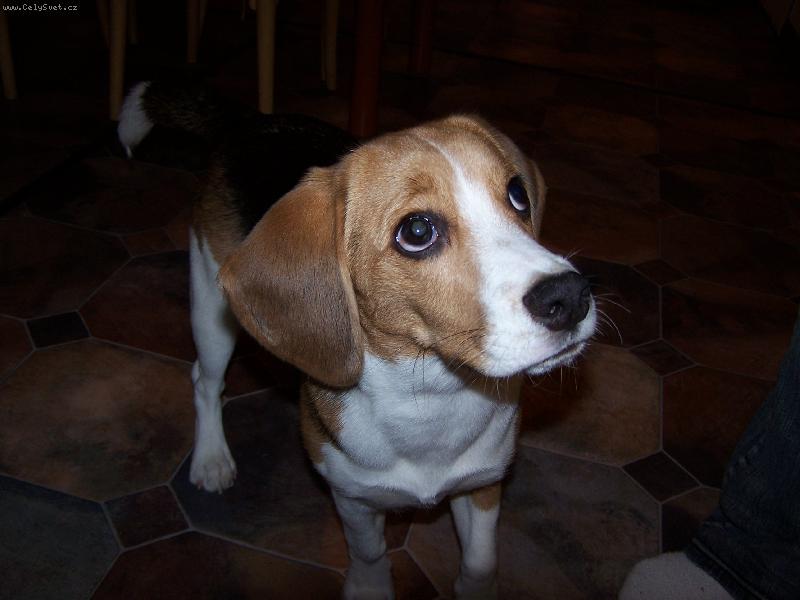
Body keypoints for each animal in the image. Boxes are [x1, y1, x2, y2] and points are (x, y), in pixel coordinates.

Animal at [119, 81, 596, 600]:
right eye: (417, 231)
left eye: (517, 195)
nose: (570, 297)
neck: (429, 395)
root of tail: (253, 121)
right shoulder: (353, 498)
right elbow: (369, 553)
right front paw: (370, 586)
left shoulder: (484, 484)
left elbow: (480, 560)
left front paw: (476, 588)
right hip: (211, 309)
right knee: (205, 382)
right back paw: (210, 457)